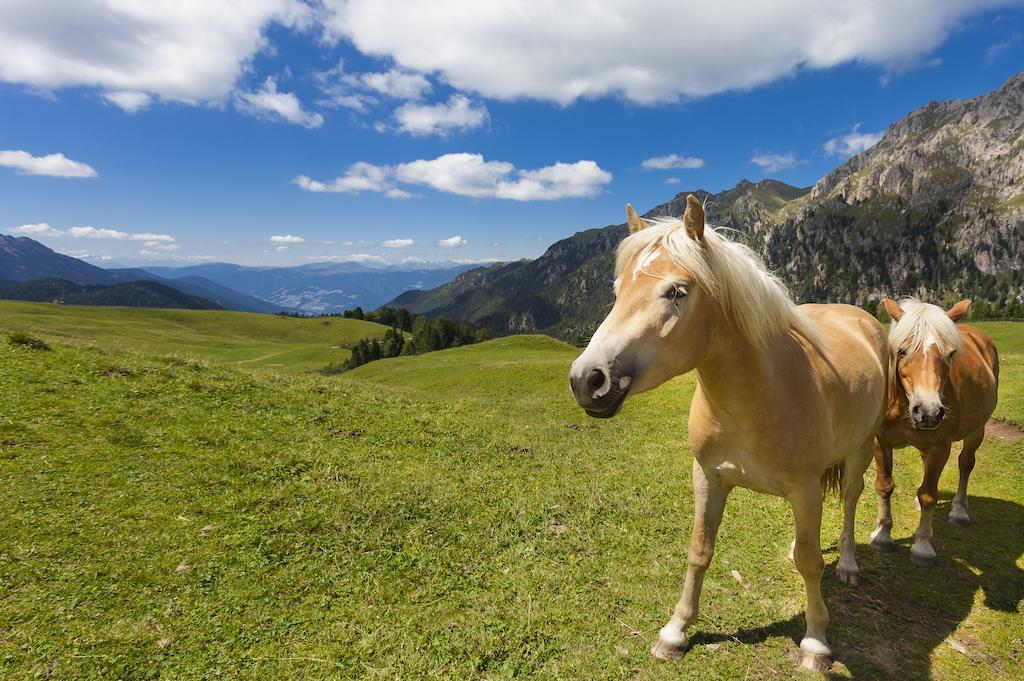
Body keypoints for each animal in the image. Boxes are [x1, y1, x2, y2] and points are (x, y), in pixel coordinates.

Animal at [569, 195, 888, 667]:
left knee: (849, 499)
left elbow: (811, 564)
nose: (586, 380)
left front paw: (816, 641)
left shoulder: (806, 488)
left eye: (676, 291)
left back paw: (848, 564)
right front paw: (675, 631)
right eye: (617, 290)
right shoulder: (709, 477)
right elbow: (700, 550)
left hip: (861, 449)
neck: (759, 394)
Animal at [868, 299, 995, 569]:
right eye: (902, 351)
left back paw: (959, 512)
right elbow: (884, 485)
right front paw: (882, 535)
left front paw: (923, 547)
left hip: (977, 430)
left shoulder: (940, 447)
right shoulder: (880, 442)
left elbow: (929, 495)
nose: (928, 412)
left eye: (950, 354)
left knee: (965, 464)